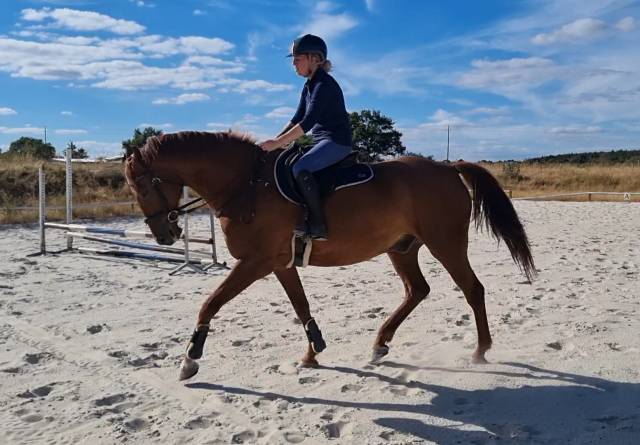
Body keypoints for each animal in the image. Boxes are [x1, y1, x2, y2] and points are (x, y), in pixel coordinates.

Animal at [123, 131, 535, 381]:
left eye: (142, 184)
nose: (164, 236)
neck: (246, 185)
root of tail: (447, 168)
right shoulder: (279, 264)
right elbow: (300, 305)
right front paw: (313, 351)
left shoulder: (255, 263)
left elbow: (210, 302)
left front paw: (190, 358)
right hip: (401, 248)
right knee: (417, 291)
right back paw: (380, 344)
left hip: (445, 243)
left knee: (472, 289)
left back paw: (480, 351)